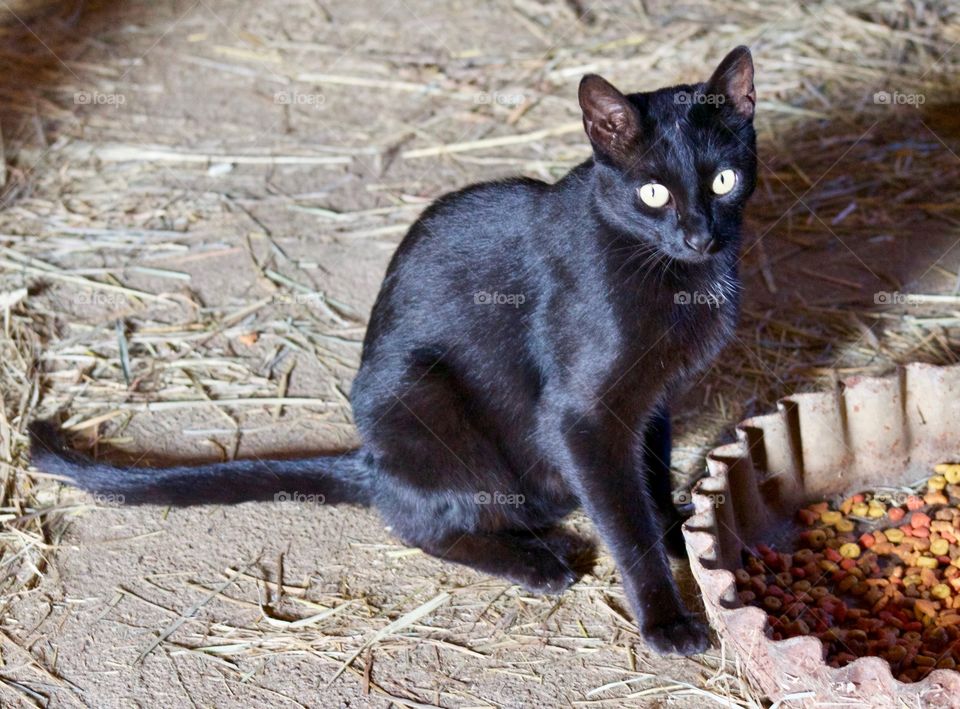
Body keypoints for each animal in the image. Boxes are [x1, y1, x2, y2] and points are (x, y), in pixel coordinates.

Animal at [30, 45, 756, 652]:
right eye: (653, 193)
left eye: (722, 180)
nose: (699, 236)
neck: (675, 275)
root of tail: (373, 459)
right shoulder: (584, 416)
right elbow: (625, 525)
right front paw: (666, 621)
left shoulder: (651, 405)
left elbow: (649, 485)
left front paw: (681, 539)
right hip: (423, 397)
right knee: (422, 522)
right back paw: (541, 561)